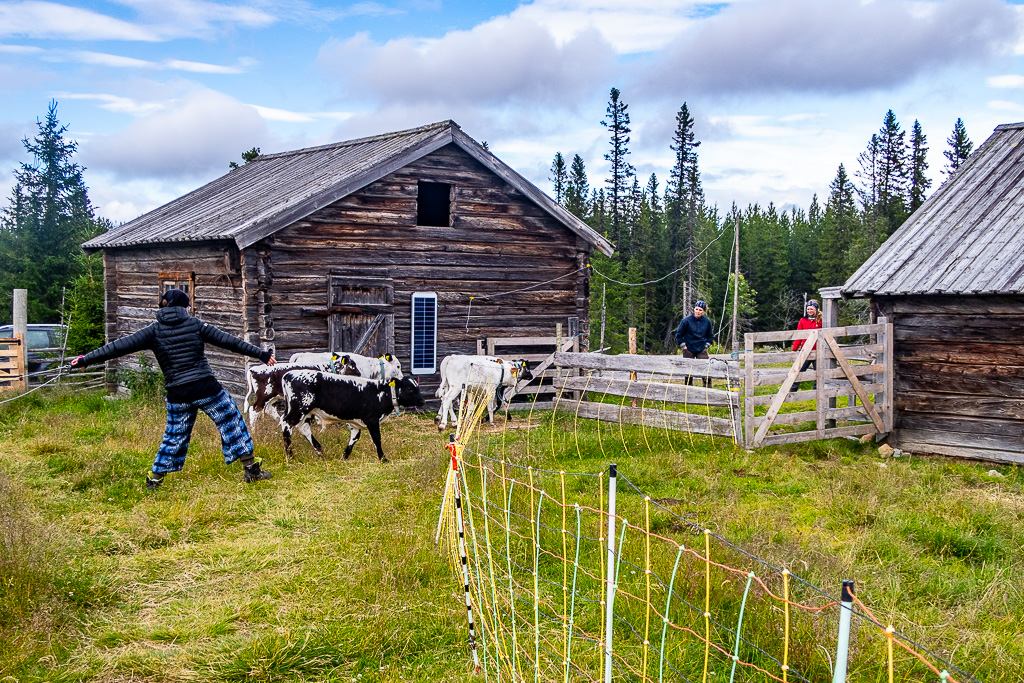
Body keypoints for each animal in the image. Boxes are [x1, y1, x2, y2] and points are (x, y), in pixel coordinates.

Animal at [276, 370, 423, 462]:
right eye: (410, 388)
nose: (422, 401)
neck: (378, 392)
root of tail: (288, 374)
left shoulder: (355, 423)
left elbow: (354, 439)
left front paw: (344, 457)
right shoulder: (372, 420)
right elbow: (377, 439)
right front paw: (383, 459)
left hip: (306, 412)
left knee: (304, 428)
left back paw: (320, 451)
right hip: (299, 409)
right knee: (287, 424)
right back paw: (290, 456)